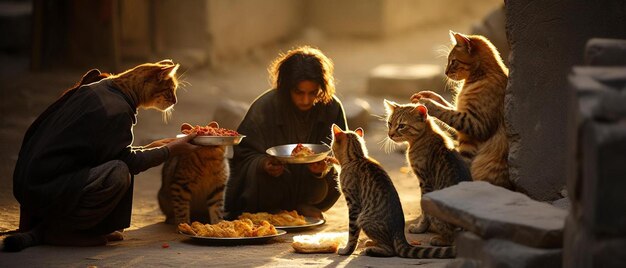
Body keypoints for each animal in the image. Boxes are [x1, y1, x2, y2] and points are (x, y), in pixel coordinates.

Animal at [326, 124, 454, 258]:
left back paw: (371, 250)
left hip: (363, 218)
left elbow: (352, 234)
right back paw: (372, 243)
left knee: (390, 250)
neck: (357, 157)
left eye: (332, 145)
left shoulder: (353, 204)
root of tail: (400, 234)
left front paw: (346, 250)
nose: (330, 149)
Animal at [382, 99, 470, 246]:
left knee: (452, 237)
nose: (390, 134)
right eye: (389, 123)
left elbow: (424, 211)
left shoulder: (425, 181)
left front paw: (420, 228)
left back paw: (439, 239)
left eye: (401, 126)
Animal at [410, 30, 512, 188]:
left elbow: (447, 112)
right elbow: (445, 105)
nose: (445, 72)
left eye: (453, 61)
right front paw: (429, 95)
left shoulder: (476, 123)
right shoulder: (461, 111)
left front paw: (427, 102)